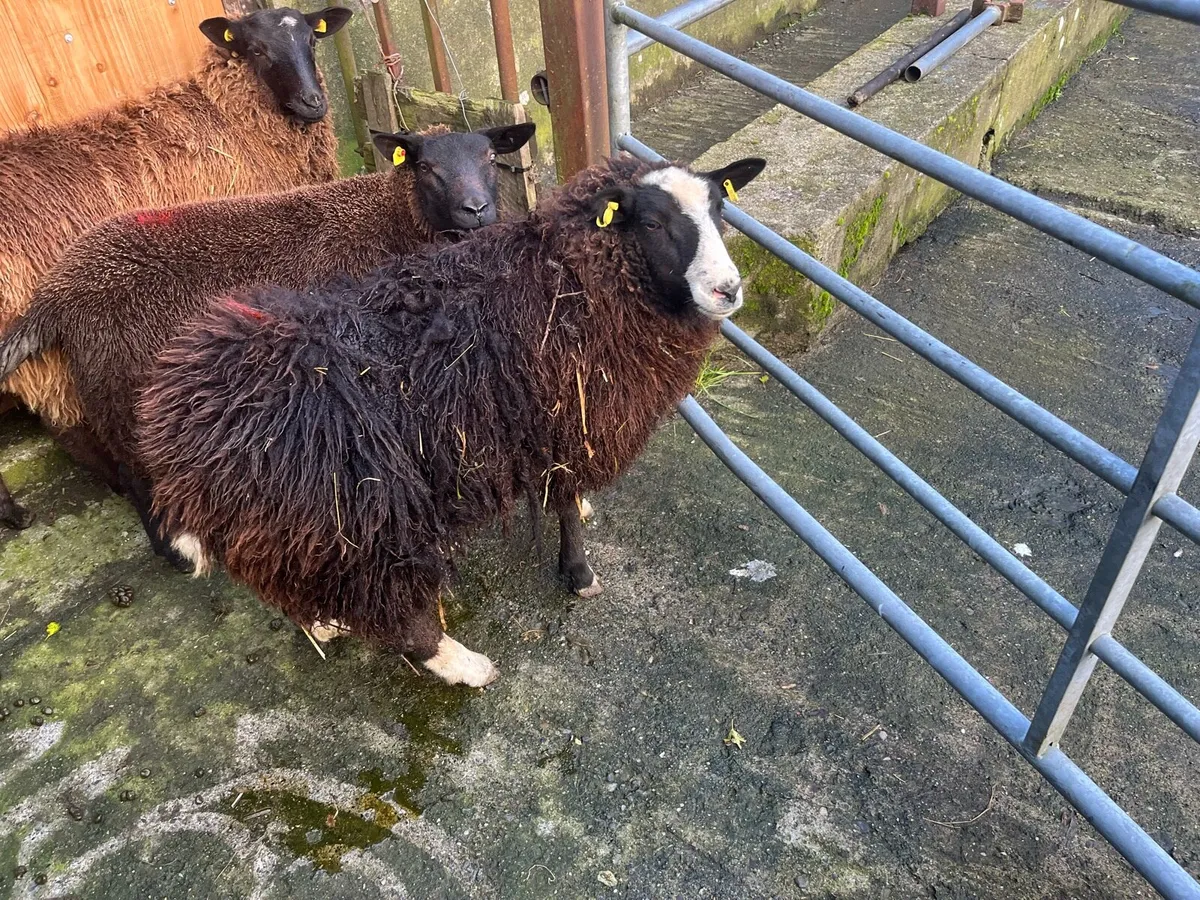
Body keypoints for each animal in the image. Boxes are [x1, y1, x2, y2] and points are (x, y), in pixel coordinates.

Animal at [0, 5, 352, 527]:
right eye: (256, 50)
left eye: (312, 39)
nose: (314, 103)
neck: (228, 114)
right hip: (44, 350)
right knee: (70, 428)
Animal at [0, 123, 538, 572]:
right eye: (425, 168)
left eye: (491, 156)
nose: (477, 211)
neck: (391, 220)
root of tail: (57, 292)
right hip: (118, 383)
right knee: (132, 473)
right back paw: (178, 552)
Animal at [134, 152, 766, 686]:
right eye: (653, 224)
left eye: (720, 210)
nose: (728, 290)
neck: (568, 281)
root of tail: (183, 432)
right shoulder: (559, 420)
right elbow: (564, 505)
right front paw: (579, 574)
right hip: (368, 520)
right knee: (395, 612)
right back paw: (462, 664)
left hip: (296, 535)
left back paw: (324, 624)